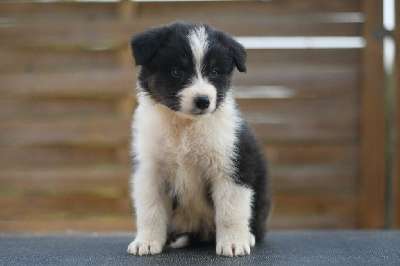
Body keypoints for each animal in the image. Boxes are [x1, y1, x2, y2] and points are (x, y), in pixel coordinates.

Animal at [127, 21, 272, 256]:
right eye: (177, 71)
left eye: (214, 71)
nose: (203, 100)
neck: (186, 126)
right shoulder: (150, 169)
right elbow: (150, 209)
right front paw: (146, 242)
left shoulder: (232, 165)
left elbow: (231, 209)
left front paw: (233, 243)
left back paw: (248, 236)